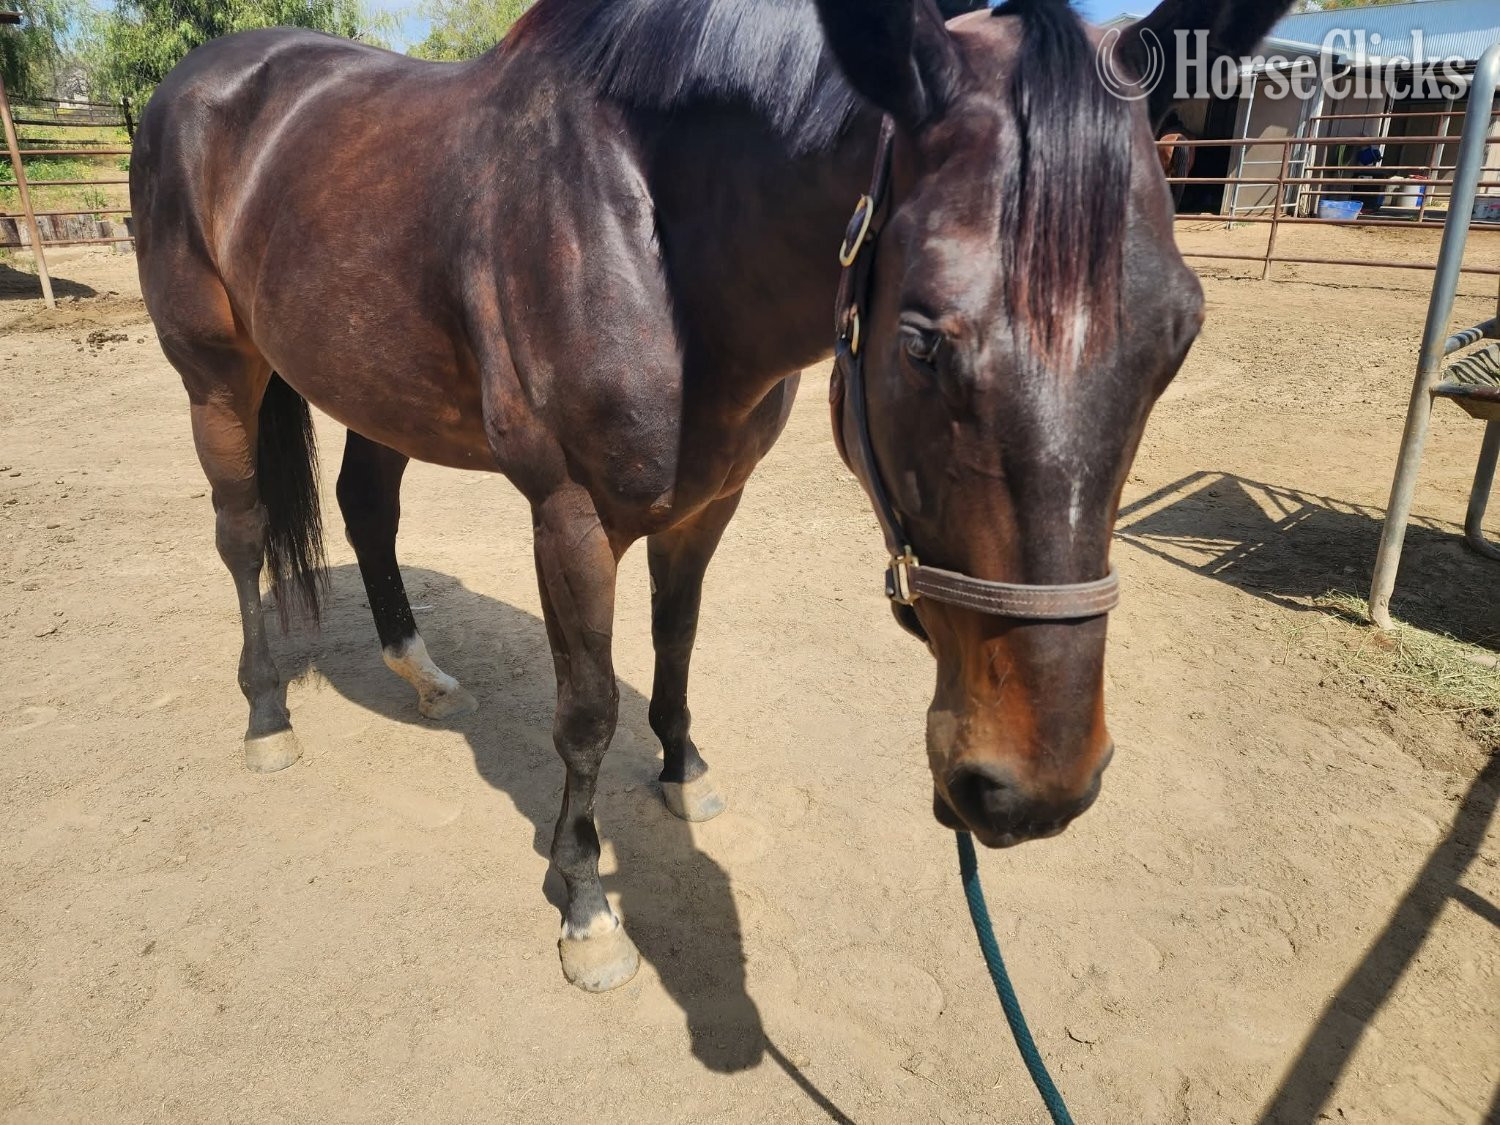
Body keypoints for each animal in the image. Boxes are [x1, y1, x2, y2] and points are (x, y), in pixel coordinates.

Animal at [129, 0, 1294, 991]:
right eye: (921, 341)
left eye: (1179, 336)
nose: (1032, 790)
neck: (644, 231)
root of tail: (206, 79)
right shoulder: (571, 518)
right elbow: (586, 712)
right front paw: (585, 903)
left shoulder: (706, 504)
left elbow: (677, 643)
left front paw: (682, 769)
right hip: (216, 378)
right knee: (241, 536)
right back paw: (268, 714)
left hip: (375, 385)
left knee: (367, 505)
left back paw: (420, 672)